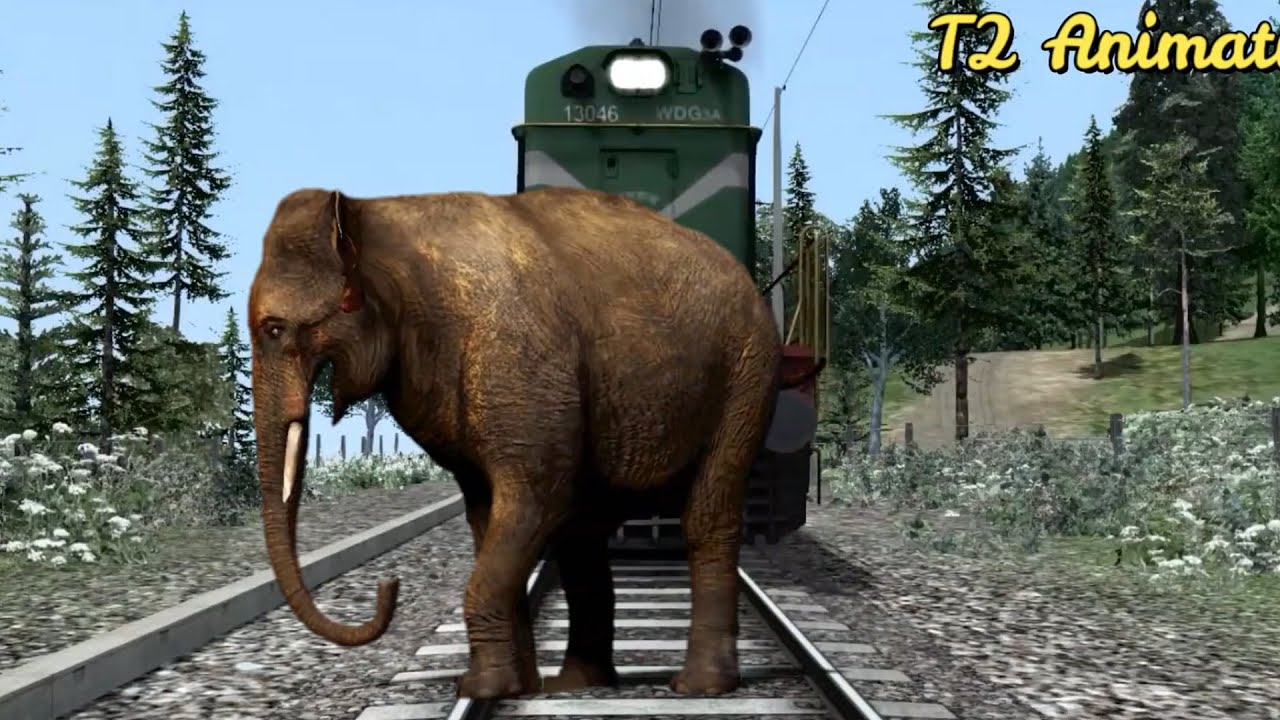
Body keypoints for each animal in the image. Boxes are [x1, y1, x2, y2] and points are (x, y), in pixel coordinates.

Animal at [247, 186, 791, 700]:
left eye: (273, 328)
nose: (389, 586)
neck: (377, 213)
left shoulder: (514, 359)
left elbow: (535, 497)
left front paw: (480, 689)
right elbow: (489, 514)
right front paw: (512, 688)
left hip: (745, 378)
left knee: (704, 518)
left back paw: (698, 686)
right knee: (582, 533)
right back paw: (576, 685)